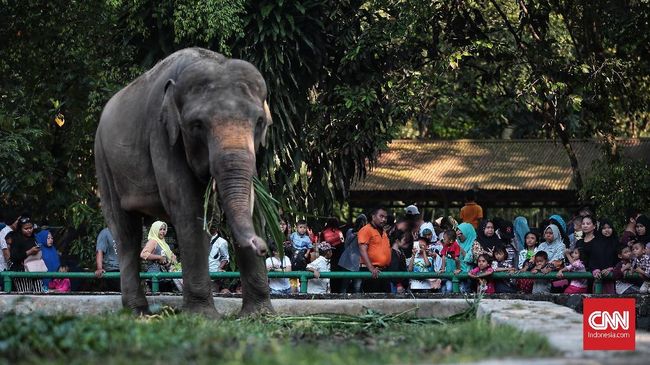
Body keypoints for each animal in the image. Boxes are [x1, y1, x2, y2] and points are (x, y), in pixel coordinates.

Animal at [93, 47, 270, 316]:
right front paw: (203, 317)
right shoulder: (161, 135)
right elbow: (187, 208)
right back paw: (138, 312)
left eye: (259, 122)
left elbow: (253, 204)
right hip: (103, 162)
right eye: (197, 125)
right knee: (126, 232)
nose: (263, 247)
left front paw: (258, 315)